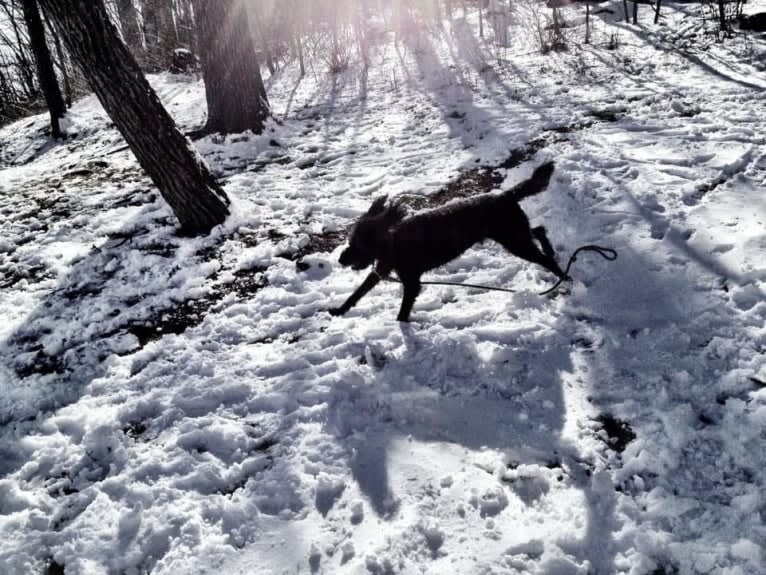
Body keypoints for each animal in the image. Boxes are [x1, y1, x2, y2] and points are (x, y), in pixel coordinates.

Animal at [330, 162, 568, 322]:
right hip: (515, 234)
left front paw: (401, 328)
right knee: (538, 230)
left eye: (359, 245)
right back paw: (550, 250)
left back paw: (563, 276)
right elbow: (358, 292)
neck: (393, 242)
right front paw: (340, 310)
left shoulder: (411, 282)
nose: (341, 260)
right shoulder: (381, 270)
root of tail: (505, 196)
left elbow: (403, 310)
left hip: (515, 240)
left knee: (543, 256)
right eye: (350, 241)